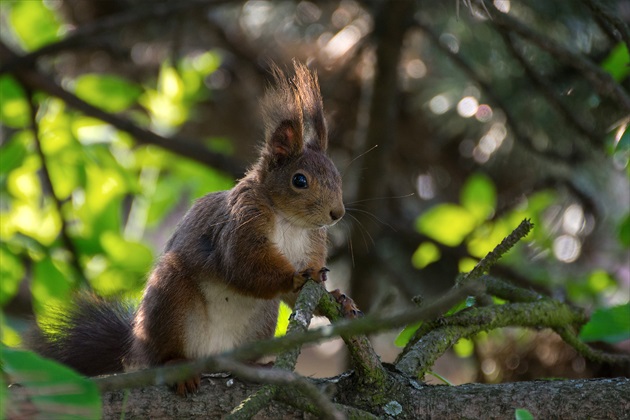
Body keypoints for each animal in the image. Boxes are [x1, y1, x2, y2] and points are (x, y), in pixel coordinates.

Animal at [27, 61, 346, 394]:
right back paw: (177, 366)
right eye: (300, 180)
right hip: (171, 299)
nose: (337, 213)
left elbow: (296, 296)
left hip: (260, 320)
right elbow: (244, 266)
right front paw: (295, 277)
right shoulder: (240, 224)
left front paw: (336, 296)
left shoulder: (311, 244)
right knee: (164, 354)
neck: (290, 222)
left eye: (337, 175)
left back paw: (256, 366)